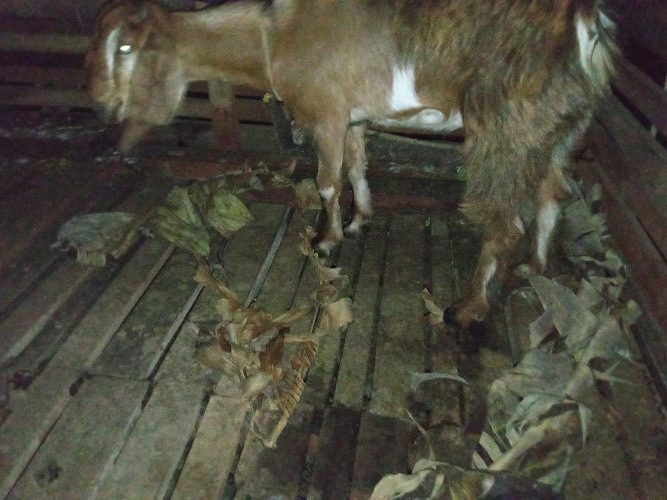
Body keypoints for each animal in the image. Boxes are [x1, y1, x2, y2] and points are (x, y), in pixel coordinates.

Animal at [86, 0, 617, 327]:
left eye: (127, 47)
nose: (100, 103)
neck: (269, 34)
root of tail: (585, 28)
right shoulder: (355, 117)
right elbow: (358, 168)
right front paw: (361, 219)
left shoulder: (325, 112)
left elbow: (326, 181)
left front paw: (326, 240)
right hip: (560, 127)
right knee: (553, 192)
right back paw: (535, 265)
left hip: (506, 125)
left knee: (504, 222)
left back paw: (467, 307)